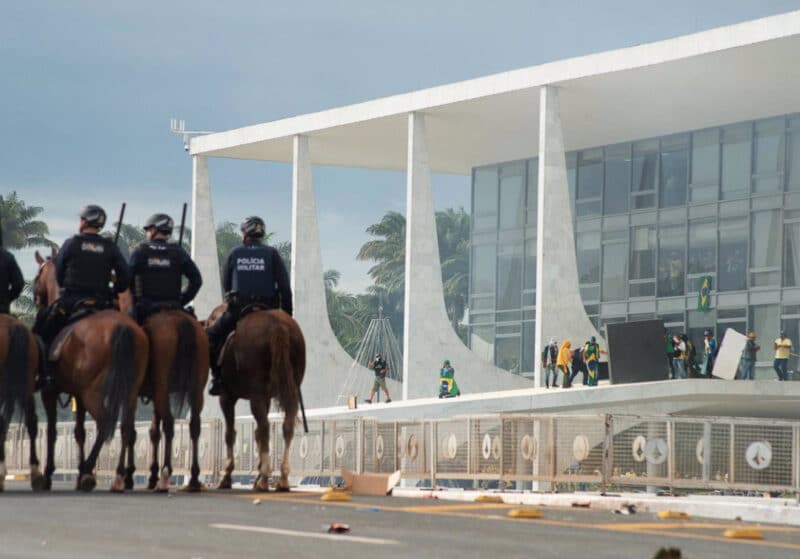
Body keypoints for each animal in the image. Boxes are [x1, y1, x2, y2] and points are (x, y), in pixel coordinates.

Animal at [33, 252, 149, 492]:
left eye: (38, 275)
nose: (36, 298)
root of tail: (123, 327)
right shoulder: (77, 394)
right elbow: (79, 431)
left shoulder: (51, 392)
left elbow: (51, 430)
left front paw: (48, 473)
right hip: (128, 391)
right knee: (126, 428)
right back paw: (118, 475)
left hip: (93, 392)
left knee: (104, 423)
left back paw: (89, 471)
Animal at [206, 304, 306, 492]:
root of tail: (278, 326)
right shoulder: (265, 397)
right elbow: (257, 434)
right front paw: (258, 474)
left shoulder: (227, 397)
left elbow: (230, 434)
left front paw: (227, 476)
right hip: (289, 392)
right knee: (285, 426)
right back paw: (282, 478)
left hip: (255, 396)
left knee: (265, 427)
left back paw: (266, 478)